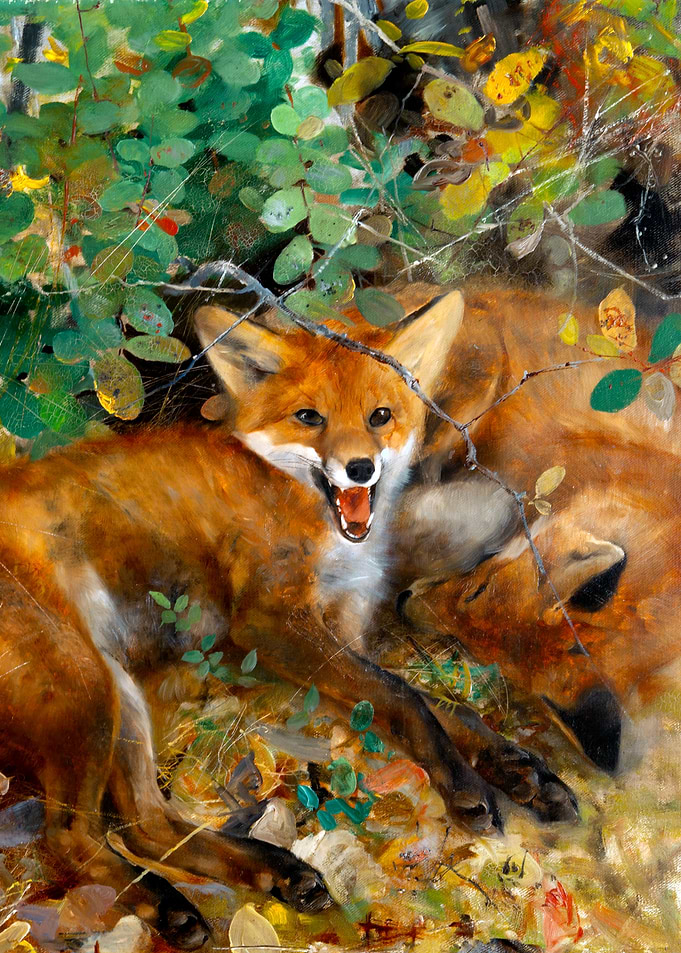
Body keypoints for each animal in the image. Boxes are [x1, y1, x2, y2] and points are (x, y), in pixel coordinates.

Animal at [0, 288, 518, 949]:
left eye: (380, 416)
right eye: (309, 418)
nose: (360, 468)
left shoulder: (342, 632)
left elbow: (443, 709)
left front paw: (522, 771)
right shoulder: (270, 624)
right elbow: (408, 700)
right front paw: (469, 793)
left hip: (118, 694)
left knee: (145, 824)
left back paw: (274, 875)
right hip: (85, 689)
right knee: (70, 836)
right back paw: (167, 905)